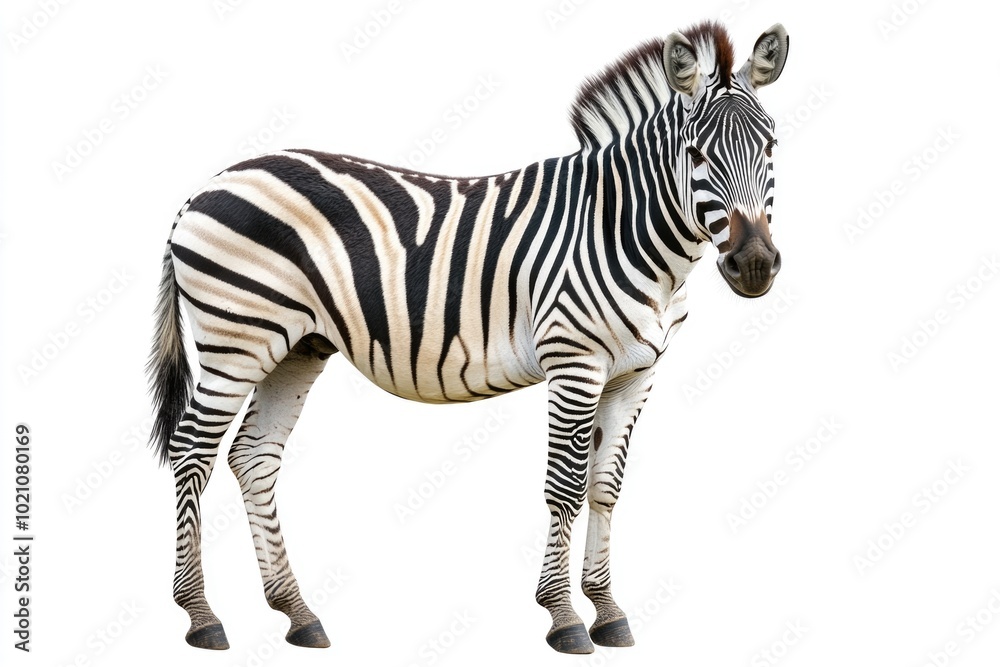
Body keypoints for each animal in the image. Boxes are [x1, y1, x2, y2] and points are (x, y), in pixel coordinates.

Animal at [147, 20, 788, 654]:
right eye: (696, 154)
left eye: (772, 146)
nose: (754, 265)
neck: (620, 227)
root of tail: (206, 186)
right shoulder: (574, 362)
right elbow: (565, 486)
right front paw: (564, 618)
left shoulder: (637, 372)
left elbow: (605, 487)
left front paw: (607, 610)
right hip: (235, 338)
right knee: (192, 451)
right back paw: (201, 615)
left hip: (295, 345)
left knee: (253, 456)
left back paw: (298, 614)